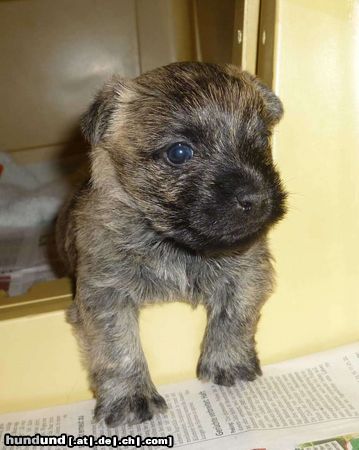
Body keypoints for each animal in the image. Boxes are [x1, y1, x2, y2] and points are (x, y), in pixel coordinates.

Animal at [57, 61, 288, 428]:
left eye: (262, 139)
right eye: (179, 152)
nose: (257, 198)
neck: (175, 243)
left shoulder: (249, 270)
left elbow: (236, 314)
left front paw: (229, 363)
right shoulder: (105, 294)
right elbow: (118, 347)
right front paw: (130, 399)